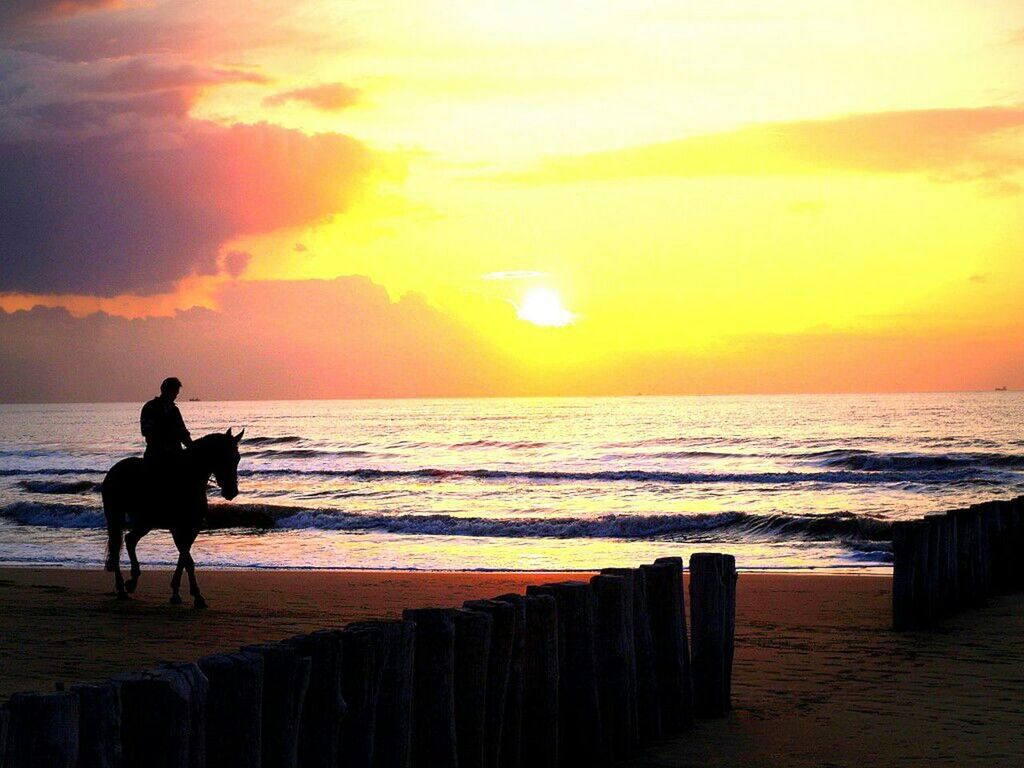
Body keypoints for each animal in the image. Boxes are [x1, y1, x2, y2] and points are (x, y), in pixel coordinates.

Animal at [102, 430, 243, 610]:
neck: (189, 479)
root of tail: (113, 470)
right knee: (116, 548)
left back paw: (132, 582)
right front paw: (196, 596)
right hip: (116, 516)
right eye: (222, 456)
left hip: (146, 522)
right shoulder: (177, 528)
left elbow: (184, 558)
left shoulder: (192, 527)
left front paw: (178, 593)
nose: (231, 491)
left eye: (237, 458)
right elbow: (187, 560)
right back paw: (122, 588)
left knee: (130, 539)